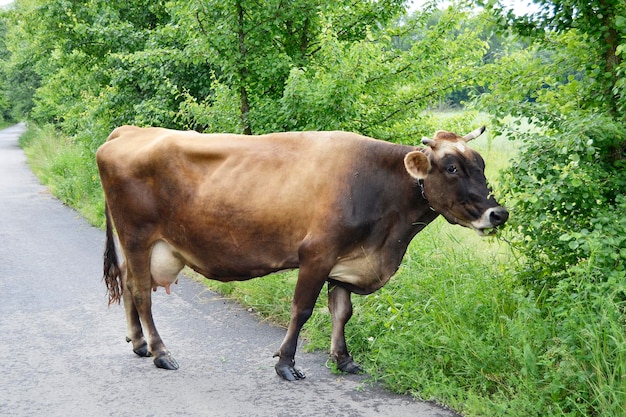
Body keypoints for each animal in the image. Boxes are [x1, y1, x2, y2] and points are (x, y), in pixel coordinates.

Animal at [96, 125, 508, 378]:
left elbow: (342, 312)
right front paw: (285, 363)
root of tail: (128, 130)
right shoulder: (317, 254)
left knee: (131, 284)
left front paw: (343, 360)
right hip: (137, 237)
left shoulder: (345, 260)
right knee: (141, 292)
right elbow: (303, 310)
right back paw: (161, 352)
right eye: (452, 167)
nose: (498, 213)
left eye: (482, 164)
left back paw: (140, 344)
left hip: (138, 245)